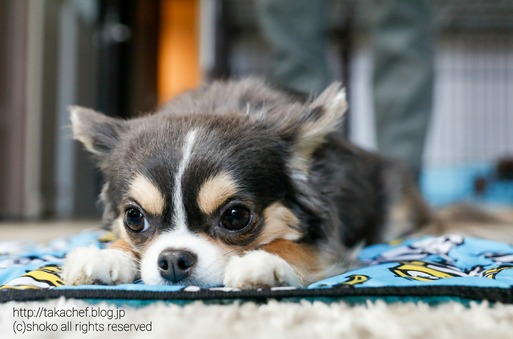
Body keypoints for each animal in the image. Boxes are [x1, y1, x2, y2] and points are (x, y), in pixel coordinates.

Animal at [61, 77, 432, 290]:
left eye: (235, 217)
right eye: (134, 219)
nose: (173, 259)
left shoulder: (331, 244)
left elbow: (295, 247)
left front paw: (263, 261)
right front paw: (107, 255)